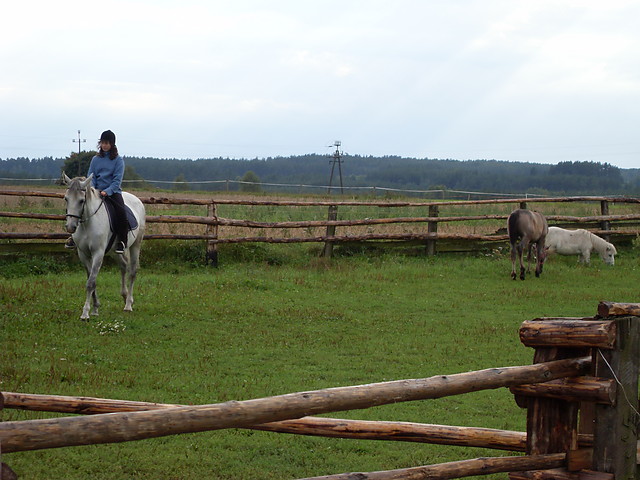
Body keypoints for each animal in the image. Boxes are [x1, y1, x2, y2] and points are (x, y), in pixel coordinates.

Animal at [62, 172, 146, 318]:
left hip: (136, 245)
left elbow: (90, 283)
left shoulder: (98, 253)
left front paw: (85, 313)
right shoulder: (83, 254)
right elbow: (91, 279)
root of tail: (136, 199)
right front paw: (95, 308)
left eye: (81, 201)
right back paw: (124, 296)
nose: (70, 227)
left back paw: (128, 304)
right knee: (123, 265)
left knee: (132, 272)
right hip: (114, 251)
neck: (87, 223)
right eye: (66, 199)